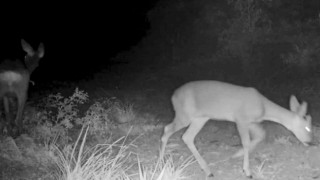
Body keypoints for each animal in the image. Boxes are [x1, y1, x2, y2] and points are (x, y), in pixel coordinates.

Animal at [161, 80, 312, 179]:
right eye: (307, 128)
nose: (310, 142)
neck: (264, 107)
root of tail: (173, 96)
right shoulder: (241, 119)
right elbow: (246, 142)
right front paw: (247, 171)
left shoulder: (251, 122)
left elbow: (261, 135)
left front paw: (236, 155)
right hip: (185, 115)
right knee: (167, 130)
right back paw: (161, 161)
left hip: (200, 118)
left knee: (186, 136)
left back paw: (208, 171)